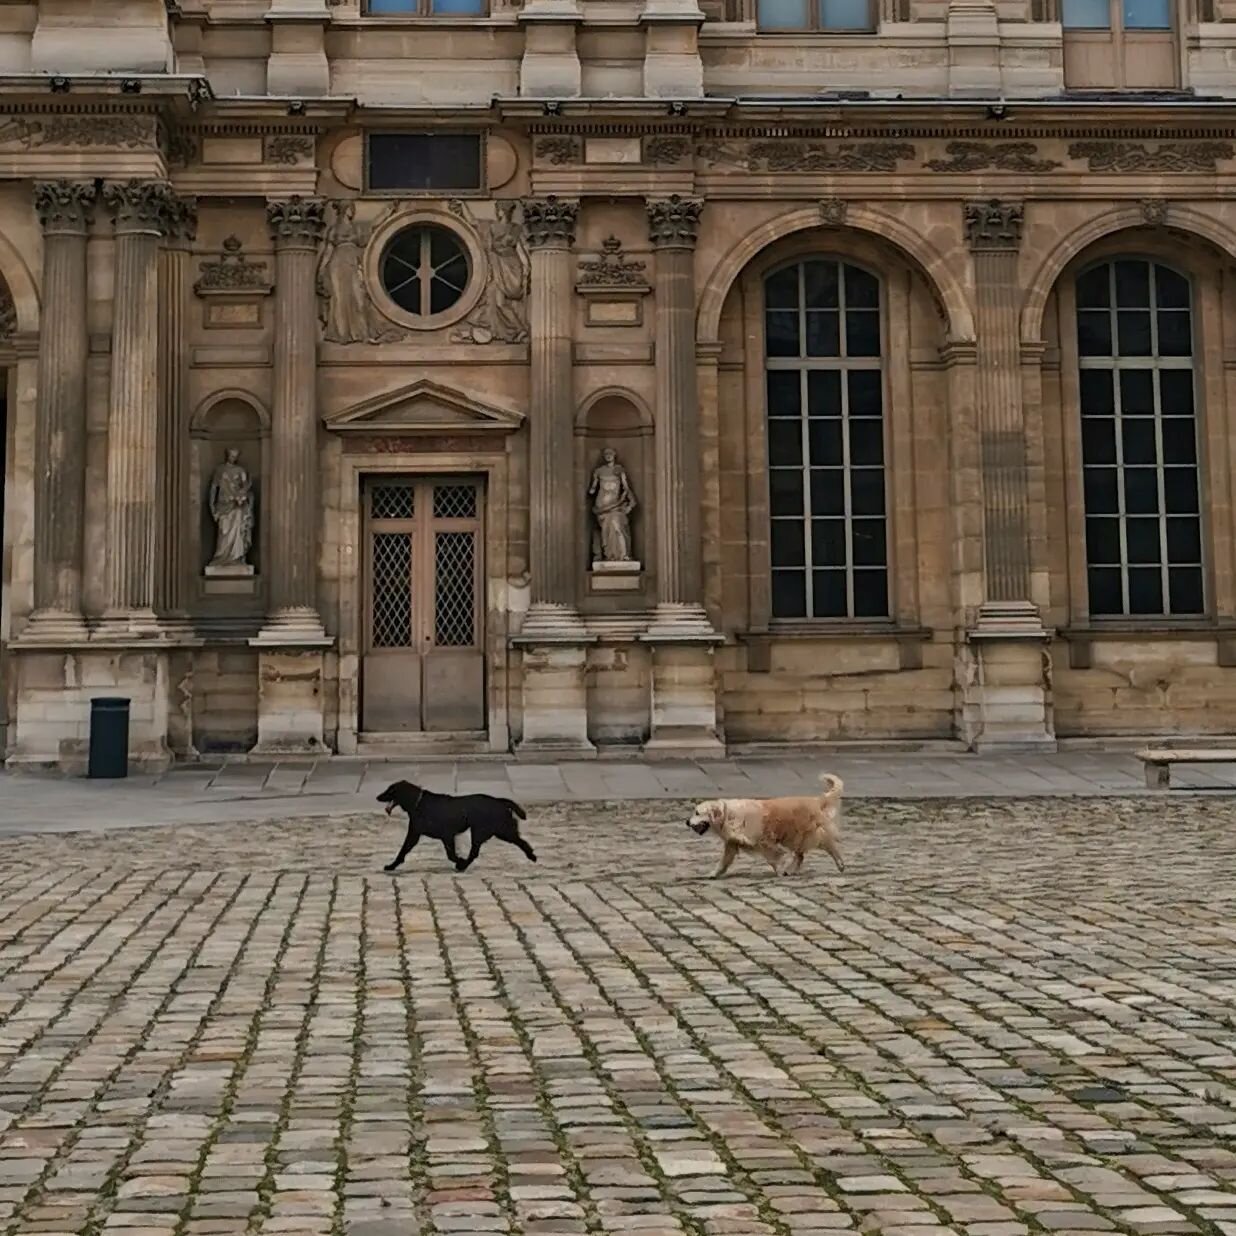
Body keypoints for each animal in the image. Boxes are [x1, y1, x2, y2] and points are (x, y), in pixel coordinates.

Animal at [370, 776, 536, 875]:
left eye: (390, 790)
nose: (377, 797)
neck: (418, 803)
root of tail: (500, 801)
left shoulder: (446, 835)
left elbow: (450, 854)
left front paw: (459, 861)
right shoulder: (415, 834)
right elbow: (403, 851)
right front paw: (392, 866)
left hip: (491, 831)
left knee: (479, 851)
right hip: (495, 831)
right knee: (516, 842)